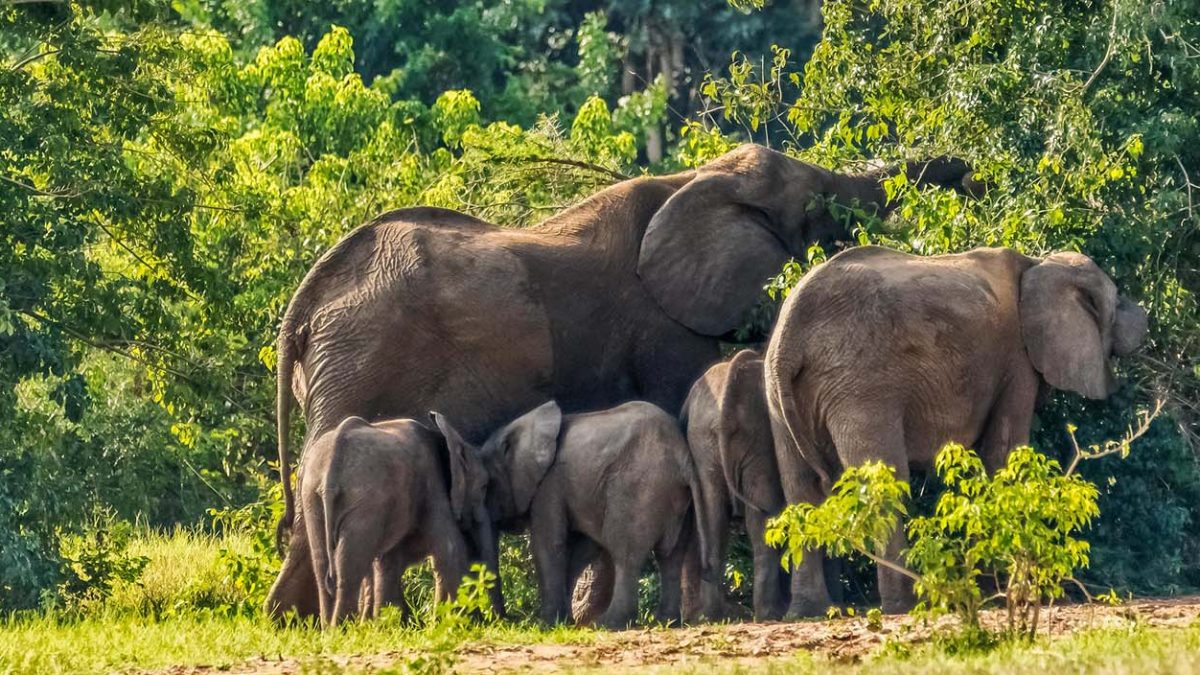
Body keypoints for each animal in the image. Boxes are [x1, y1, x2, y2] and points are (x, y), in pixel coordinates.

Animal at [302, 410, 494, 624]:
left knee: (321, 566)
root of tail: (331, 468)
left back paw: (330, 628)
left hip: (312, 498)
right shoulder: (432, 485)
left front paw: (389, 623)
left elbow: (389, 562)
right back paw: (341, 628)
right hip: (365, 499)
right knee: (349, 568)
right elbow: (450, 551)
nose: (498, 619)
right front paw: (459, 623)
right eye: (484, 487)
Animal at [453, 398, 705, 624]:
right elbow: (581, 549)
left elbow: (547, 544)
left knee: (625, 552)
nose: (508, 620)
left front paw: (546, 623)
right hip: (679, 499)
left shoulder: (550, 484)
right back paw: (667, 621)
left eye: (487, 486)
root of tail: (683, 460)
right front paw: (564, 621)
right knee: (670, 556)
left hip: (640, 487)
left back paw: (608, 623)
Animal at [681, 348, 792, 619]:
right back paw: (769, 613)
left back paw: (714, 615)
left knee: (714, 515)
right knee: (761, 516)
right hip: (755, 433)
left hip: (705, 438)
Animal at [763, 243, 1147, 612]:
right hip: (860, 385)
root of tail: (790, 335)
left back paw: (806, 610)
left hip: (778, 395)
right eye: (1117, 300)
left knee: (800, 491)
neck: (1038, 265)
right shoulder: (1017, 361)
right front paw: (998, 589)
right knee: (885, 484)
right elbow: (1002, 454)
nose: (1144, 314)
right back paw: (905, 603)